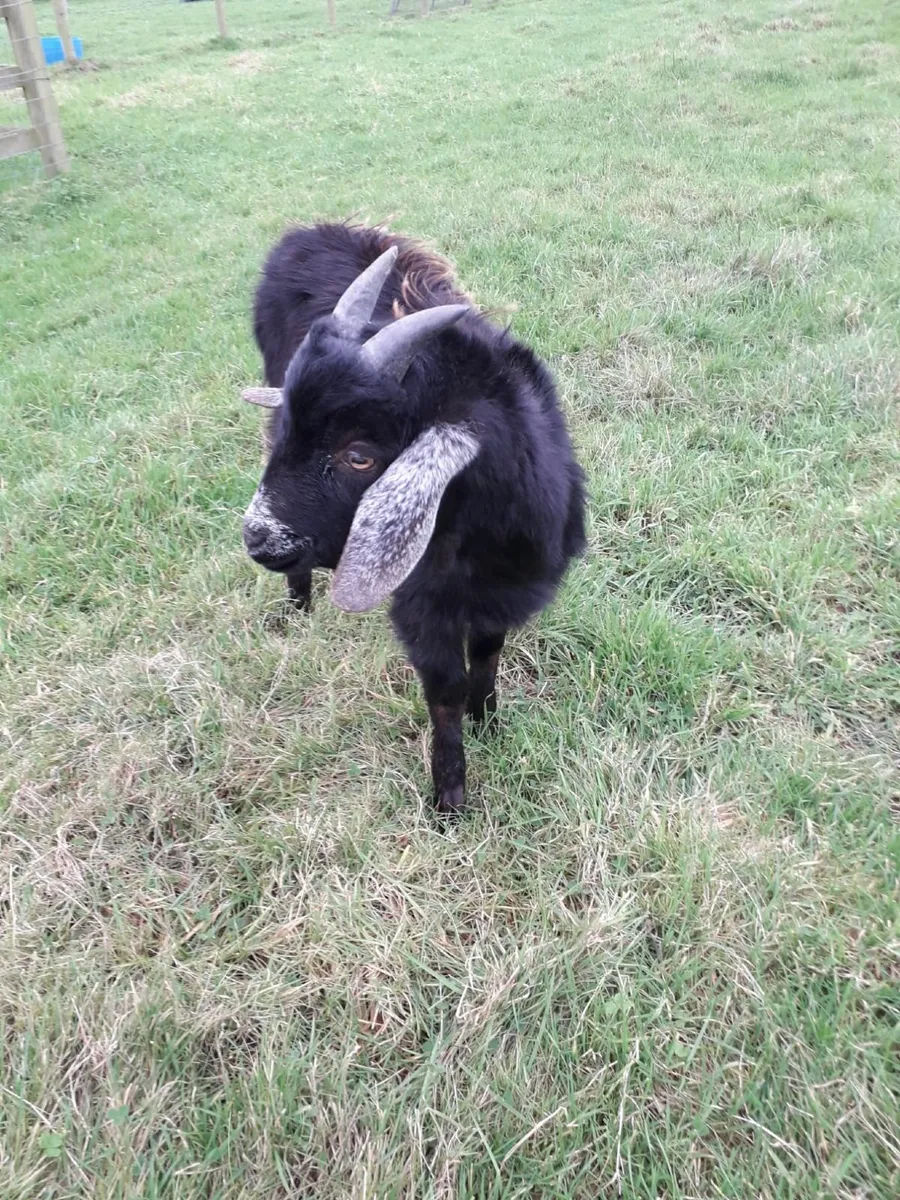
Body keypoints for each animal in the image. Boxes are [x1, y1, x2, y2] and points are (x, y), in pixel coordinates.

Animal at [241, 223, 586, 814]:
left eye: (359, 455)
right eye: (290, 426)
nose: (256, 537)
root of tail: (305, 232)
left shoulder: (499, 594)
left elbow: (488, 653)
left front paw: (488, 720)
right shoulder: (424, 607)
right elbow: (443, 689)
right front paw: (449, 799)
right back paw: (297, 607)